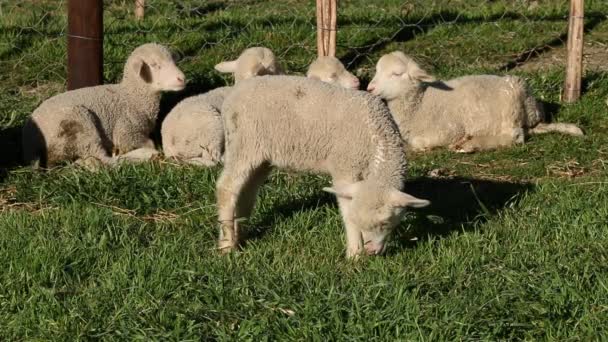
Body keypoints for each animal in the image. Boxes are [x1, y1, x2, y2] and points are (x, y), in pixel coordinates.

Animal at [22, 43, 185, 167]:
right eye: (154, 65)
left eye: (173, 61)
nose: (182, 78)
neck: (132, 96)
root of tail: (30, 142)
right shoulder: (126, 131)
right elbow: (148, 142)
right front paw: (146, 149)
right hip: (80, 125)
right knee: (103, 160)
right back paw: (145, 155)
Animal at [216, 76, 430, 258]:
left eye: (385, 222)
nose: (371, 251)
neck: (378, 141)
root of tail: (231, 97)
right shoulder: (345, 168)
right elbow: (346, 211)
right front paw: (354, 253)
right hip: (244, 143)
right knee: (227, 187)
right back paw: (227, 244)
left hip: (261, 156)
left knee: (246, 191)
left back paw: (240, 234)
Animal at [366, 50, 584, 152]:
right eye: (376, 70)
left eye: (396, 74)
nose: (370, 88)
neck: (420, 103)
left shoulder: (448, 130)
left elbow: (420, 142)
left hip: (510, 108)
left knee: (514, 137)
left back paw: (469, 144)